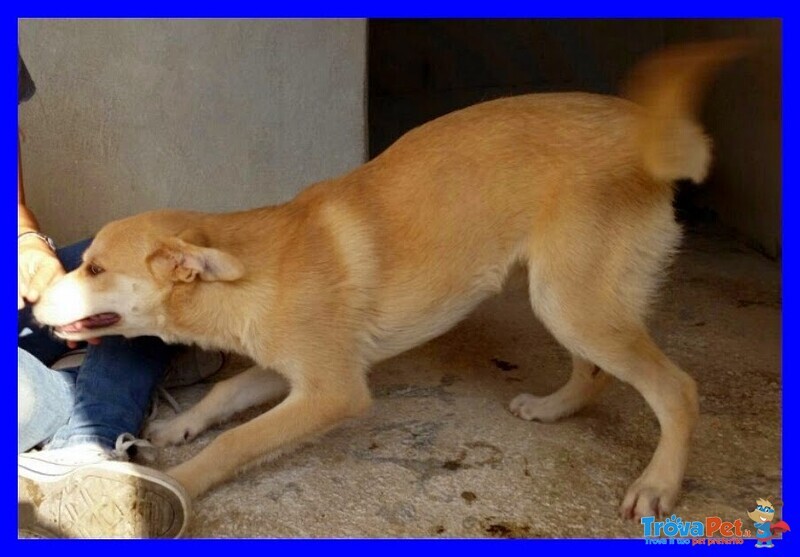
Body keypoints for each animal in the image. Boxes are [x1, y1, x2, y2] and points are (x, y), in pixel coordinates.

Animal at [32, 40, 752, 520]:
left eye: (94, 267)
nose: (32, 298)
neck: (253, 273)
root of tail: (644, 135)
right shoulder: (294, 370)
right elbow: (227, 391)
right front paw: (179, 428)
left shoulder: (333, 390)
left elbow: (238, 438)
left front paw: (179, 483)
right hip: (557, 294)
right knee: (596, 370)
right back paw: (553, 408)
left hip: (572, 301)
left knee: (677, 390)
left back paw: (658, 482)